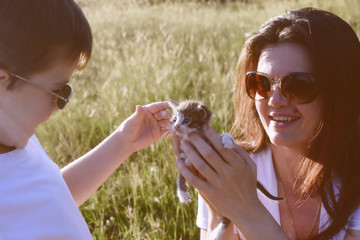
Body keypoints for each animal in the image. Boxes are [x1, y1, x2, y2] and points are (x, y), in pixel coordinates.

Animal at [170, 99, 282, 240]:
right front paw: (182, 194)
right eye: (174, 119)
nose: (176, 127)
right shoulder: (185, 159)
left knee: (229, 217)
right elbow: (180, 176)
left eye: (187, 120)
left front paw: (227, 139)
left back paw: (216, 235)